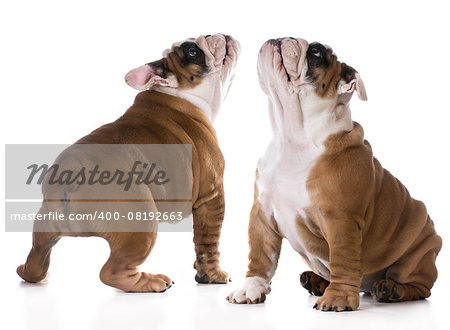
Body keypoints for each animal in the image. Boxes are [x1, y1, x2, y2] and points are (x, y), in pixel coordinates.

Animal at [17, 33, 241, 292]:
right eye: (192, 51)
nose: (214, 34)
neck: (181, 94)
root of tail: (69, 175)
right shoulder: (211, 195)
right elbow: (208, 243)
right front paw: (212, 275)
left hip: (45, 225)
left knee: (37, 256)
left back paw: (29, 272)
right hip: (141, 222)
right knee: (112, 272)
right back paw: (153, 282)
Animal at [227, 37, 442, 310]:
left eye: (316, 51)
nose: (281, 38)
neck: (294, 135)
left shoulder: (341, 219)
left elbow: (343, 259)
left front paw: (338, 297)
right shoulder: (262, 214)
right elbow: (261, 256)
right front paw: (251, 287)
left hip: (419, 252)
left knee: (420, 287)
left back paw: (391, 289)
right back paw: (317, 281)